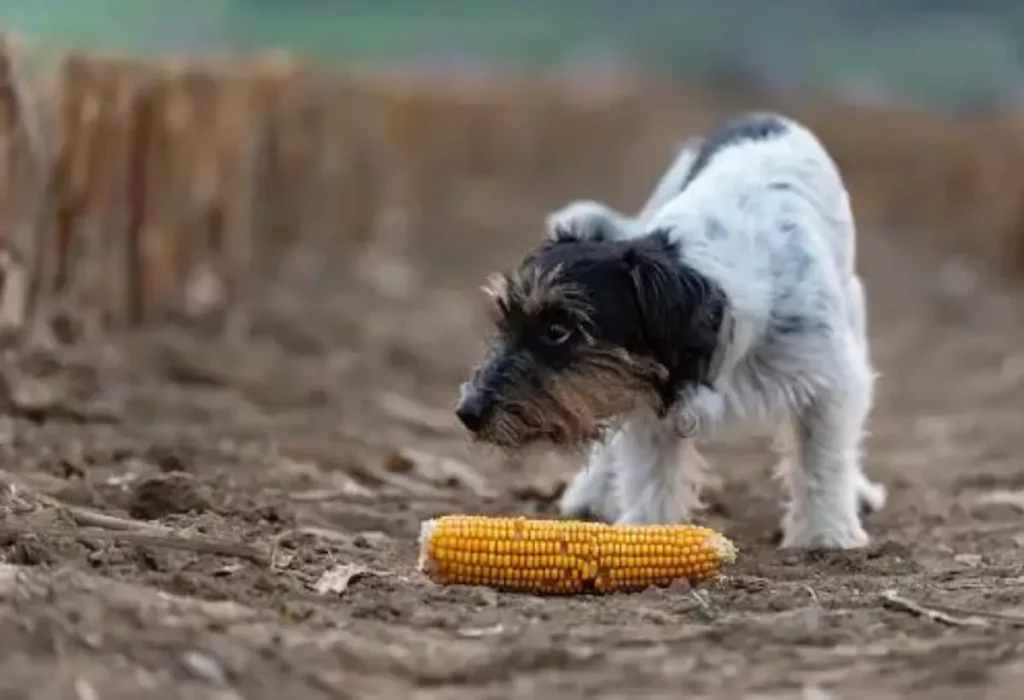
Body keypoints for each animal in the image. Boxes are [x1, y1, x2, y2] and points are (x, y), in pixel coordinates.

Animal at [452, 113, 884, 552]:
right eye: (504, 321)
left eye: (558, 330)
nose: (467, 412)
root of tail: (765, 117)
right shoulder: (645, 401)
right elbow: (650, 478)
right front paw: (646, 536)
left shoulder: (830, 382)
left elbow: (824, 461)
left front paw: (827, 534)